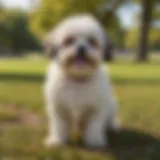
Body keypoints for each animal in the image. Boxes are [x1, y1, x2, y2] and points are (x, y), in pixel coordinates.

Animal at [43, 14, 119, 148]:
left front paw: (94, 141)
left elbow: (94, 126)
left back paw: (111, 127)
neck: (78, 79)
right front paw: (56, 140)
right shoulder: (59, 108)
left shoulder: (96, 108)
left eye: (92, 41)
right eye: (69, 40)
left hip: (112, 106)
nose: (81, 48)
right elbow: (59, 125)